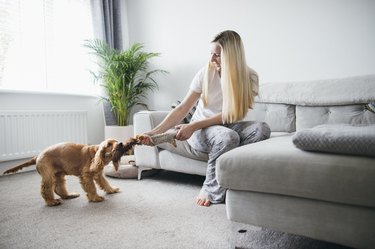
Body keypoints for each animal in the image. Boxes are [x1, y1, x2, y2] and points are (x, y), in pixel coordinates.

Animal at [2, 138, 138, 206]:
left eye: (116, 141)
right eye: (109, 144)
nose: (121, 143)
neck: (95, 154)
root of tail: (37, 156)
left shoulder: (98, 174)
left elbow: (105, 183)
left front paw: (112, 190)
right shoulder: (86, 175)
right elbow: (92, 188)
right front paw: (95, 198)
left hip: (59, 174)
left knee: (58, 188)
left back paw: (68, 195)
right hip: (48, 176)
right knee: (46, 190)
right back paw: (52, 202)